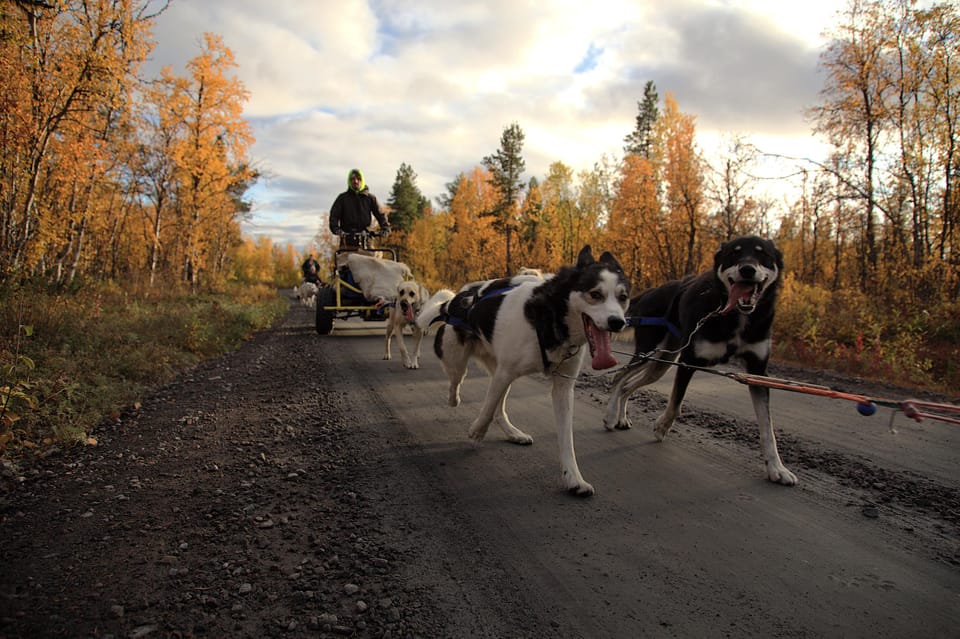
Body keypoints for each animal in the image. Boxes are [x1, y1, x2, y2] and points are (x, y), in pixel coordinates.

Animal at [418, 245, 632, 496]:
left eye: (623, 297)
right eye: (595, 294)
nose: (617, 322)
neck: (549, 316)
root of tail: (455, 301)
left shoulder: (562, 387)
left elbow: (566, 439)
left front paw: (573, 477)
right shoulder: (505, 372)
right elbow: (487, 408)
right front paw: (477, 431)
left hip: (500, 373)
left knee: (498, 406)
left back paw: (513, 433)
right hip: (460, 360)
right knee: (457, 382)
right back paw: (455, 400)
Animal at [604, 239, 800, 484]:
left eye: (762, 254)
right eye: (733, 254)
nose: (747, 269)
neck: (734, 314)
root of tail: (652, 291)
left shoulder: (757, 372)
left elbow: (767, 427)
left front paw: (776, 468)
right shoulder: (689, 361)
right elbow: (675, 405)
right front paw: (662, 426)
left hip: (662, 363)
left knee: (628, 384)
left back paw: (621, 417)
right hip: (648, 353)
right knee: (619, 376)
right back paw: (611, 415)